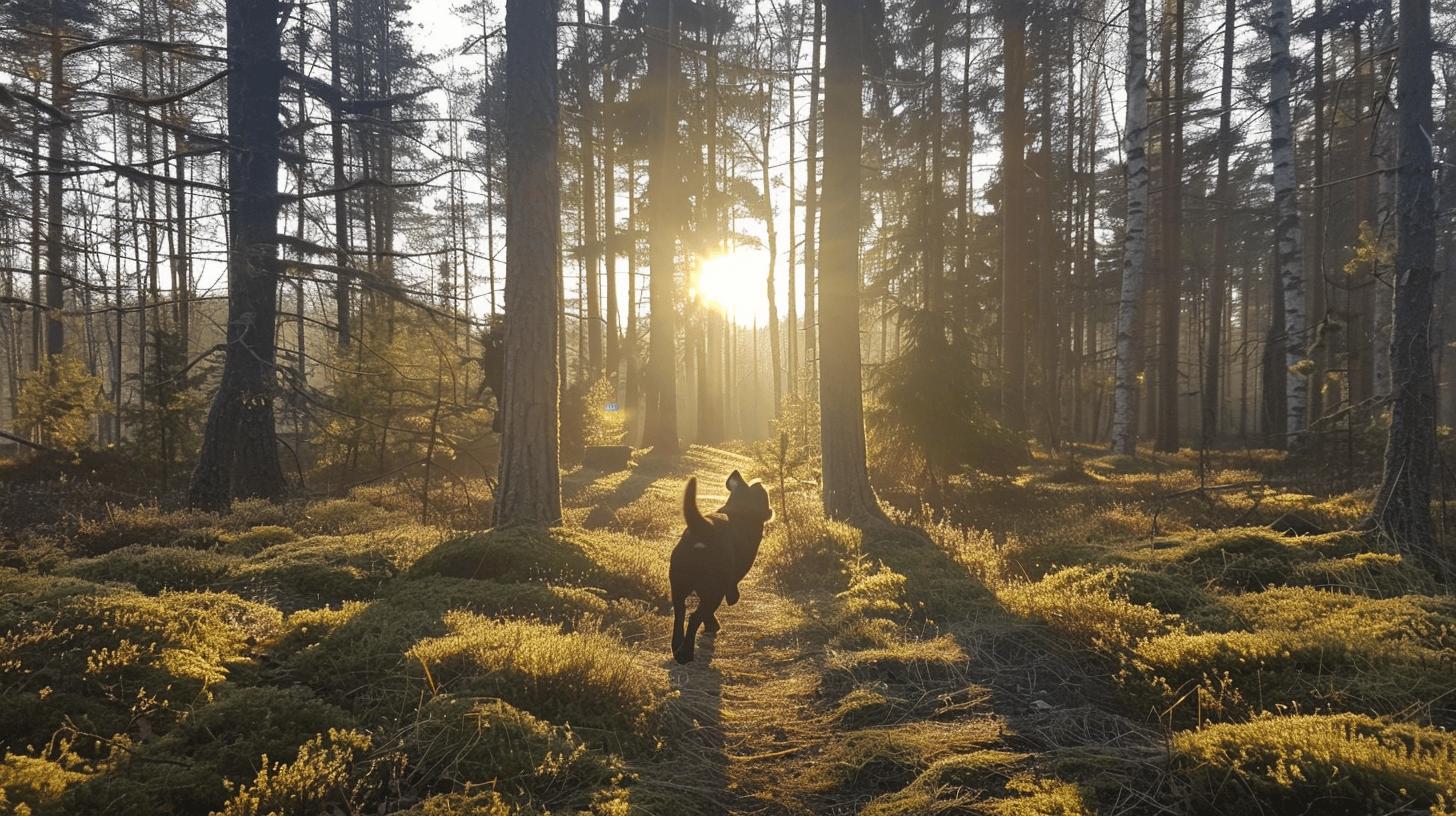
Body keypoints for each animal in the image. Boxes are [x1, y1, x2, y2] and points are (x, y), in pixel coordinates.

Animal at [669, 469, 774, 667]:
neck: (740, 509)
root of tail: (703, 530)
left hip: (679, 586)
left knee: (680, 613)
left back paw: (677, 645)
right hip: (714, 591)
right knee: (695, 616)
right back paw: (686, 653)